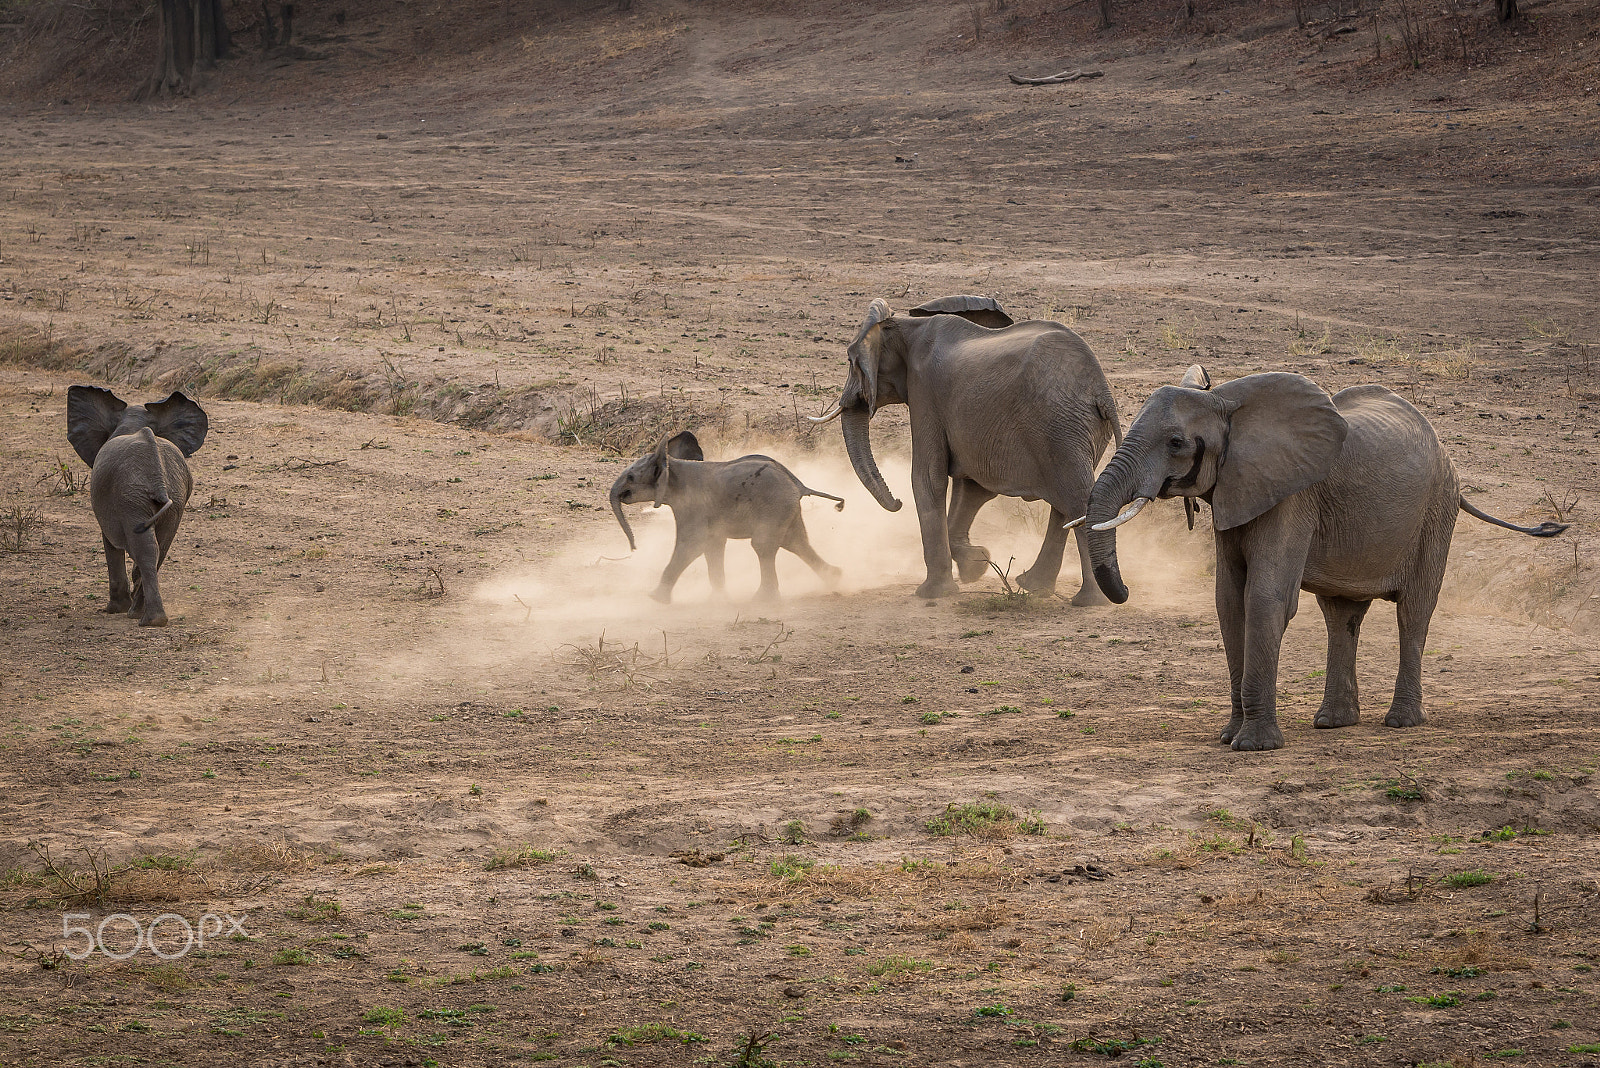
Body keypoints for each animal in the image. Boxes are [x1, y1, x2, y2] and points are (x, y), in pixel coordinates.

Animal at [66, 386, 210, 628]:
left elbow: (110, 542)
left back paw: (146, 618)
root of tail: (158, 477)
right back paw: (146, 616)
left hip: (130, 496)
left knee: (145, 548)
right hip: (173, 497)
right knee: (159, 547)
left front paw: (114, 610)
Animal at [608, 430, 845, 604]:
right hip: (785, 508)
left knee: (764, 545)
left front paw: (655, 599)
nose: (634, 548)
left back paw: (762, 600)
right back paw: (835, 578)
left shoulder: (692, 505)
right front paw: (718, 600)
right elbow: (712, 546)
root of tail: (799, 484)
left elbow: (692, 545)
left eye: (631, 477)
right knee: (796, 543)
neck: (672, 463)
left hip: (775, 505)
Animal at [812, 294, 1122, 602]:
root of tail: (1101, 389)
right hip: (1078, 431)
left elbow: (927, 478)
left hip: (1059, 426)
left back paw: (1089, 601)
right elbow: (973, 488)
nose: (897, 502)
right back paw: (1035, 586)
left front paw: (932, 593)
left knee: (1076, 499)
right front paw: (977, 566)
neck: (904, 325)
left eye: (851, 361)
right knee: (1068, 506)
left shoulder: (925, 391)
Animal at [1076, 365, 1567, 751]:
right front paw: (1228, 736)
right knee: (1340, 616)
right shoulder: (1238, 489)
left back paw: (1401, 722)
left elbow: (1265, 597)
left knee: (1414, 611)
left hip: (1436, 511)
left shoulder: (1294, 494)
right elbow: (1228, 600)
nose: (1125, 590)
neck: (1226, 400)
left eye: (1177, 443)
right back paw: (1334, 723)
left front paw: (1253, 746)